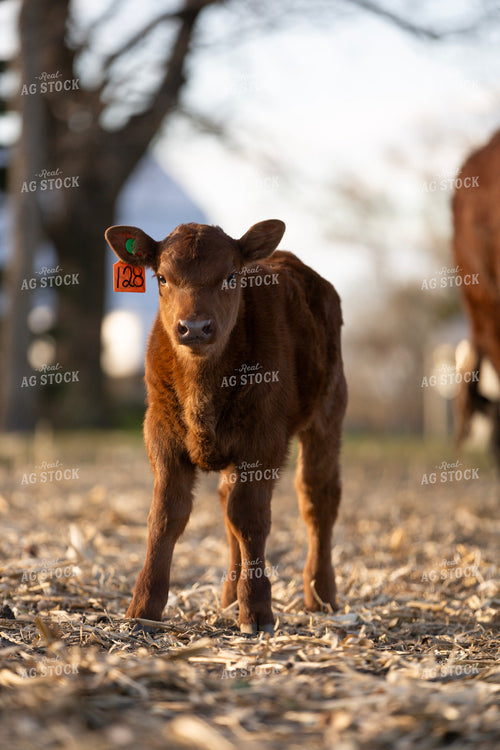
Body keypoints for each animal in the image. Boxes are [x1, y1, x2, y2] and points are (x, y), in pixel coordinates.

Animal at [105, 220, 347, 634]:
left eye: (231, 276)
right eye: (162, 278)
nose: (195, 328)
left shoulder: (263, 438)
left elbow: (250, 517)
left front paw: (258, 611)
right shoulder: (160, 432)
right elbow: (166, 515)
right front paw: (143, 608)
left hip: (328, 411)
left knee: (317, 498)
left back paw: (321, 594)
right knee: (225, 499)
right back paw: (230, 596)